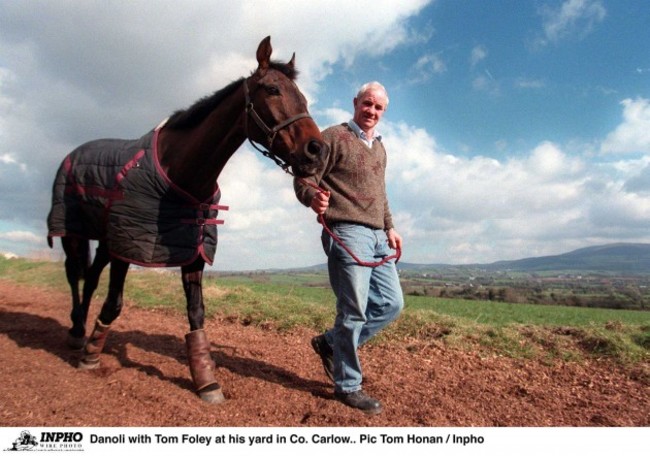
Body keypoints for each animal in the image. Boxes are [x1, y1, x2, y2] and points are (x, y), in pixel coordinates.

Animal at [46, 37, 326, 404]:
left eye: (303, 97)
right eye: (272, 89)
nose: (316, 150)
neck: (180, 172)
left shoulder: (193, 250)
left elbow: (196, 313)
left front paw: (205, 379)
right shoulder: (128, 244)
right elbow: (114, 303)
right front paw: (92, 355)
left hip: (105, 241)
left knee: (90, 278)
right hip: (75, 234)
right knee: (75, 276)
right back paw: (79, 333)